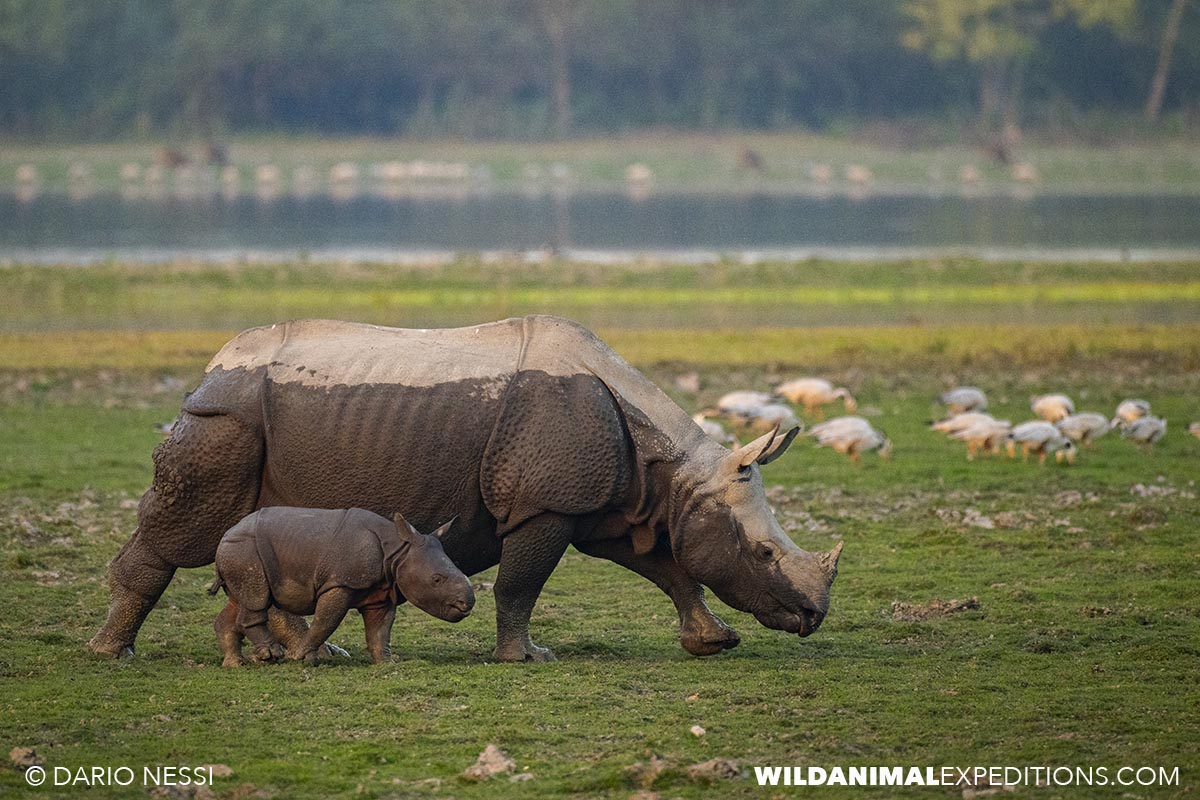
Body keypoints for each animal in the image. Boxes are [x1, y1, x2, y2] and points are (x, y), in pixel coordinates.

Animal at [89, 315, 842, 662]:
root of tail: (211, 366)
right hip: (226, 421)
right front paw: (527, 659)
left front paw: (711, 642)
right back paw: (111, 652)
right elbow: (521, 583)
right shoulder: (546, 504)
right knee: (184, 535)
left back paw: (309, 653)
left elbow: (668, 567)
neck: (679, 474)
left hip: (247, 416)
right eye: (765, 554)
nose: (813, 617)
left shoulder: (613, 505)